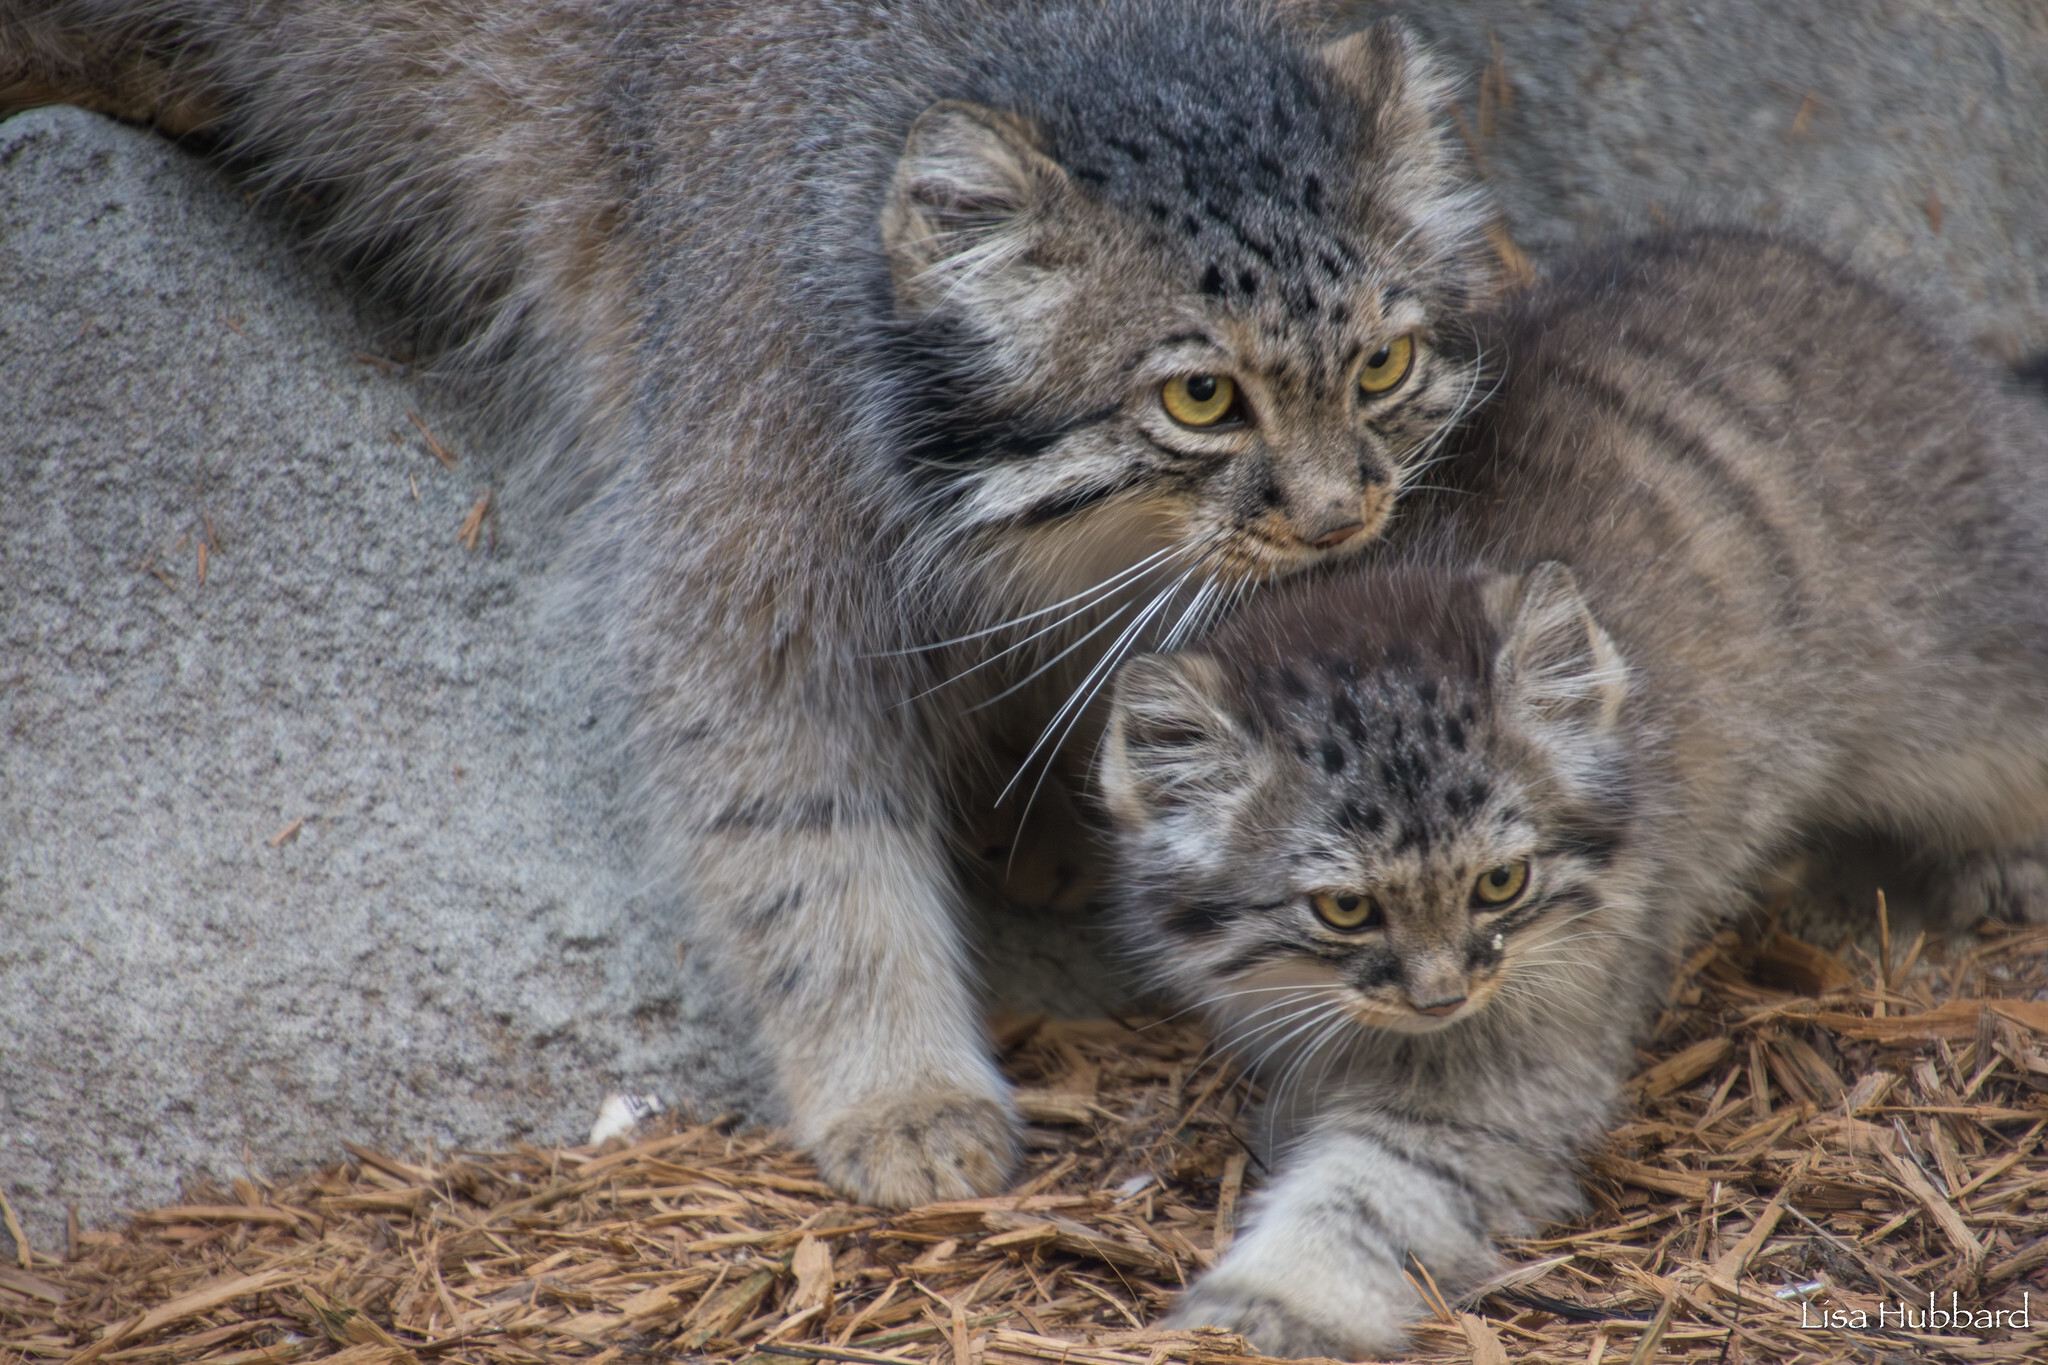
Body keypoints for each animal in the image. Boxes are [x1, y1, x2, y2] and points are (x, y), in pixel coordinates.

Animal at [8, 0, 1499, 1203]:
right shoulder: (742, 574)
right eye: (1201, 397)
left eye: (1380, 367)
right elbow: (807, 848)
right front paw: (899, 1087)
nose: (1343, 517)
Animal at [1105, 229, 2048, 1358]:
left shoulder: (1507, 1068)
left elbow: (1370, 1190)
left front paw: (1269, 1302)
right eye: (1344, 908)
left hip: (1965, 702)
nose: (1443, 997)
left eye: (1501, 884)